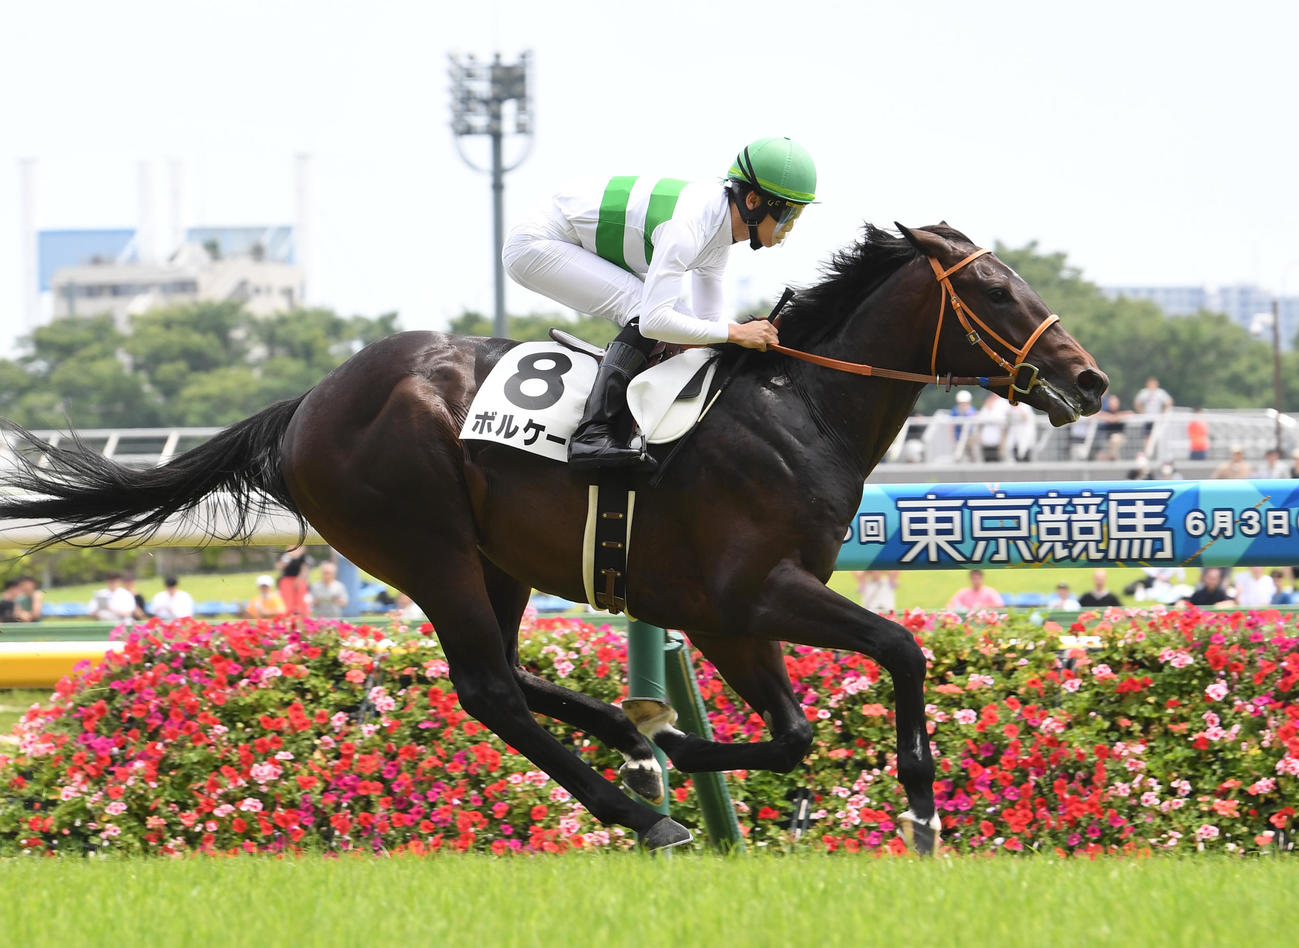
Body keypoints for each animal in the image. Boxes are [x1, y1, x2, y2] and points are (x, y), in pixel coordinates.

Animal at [0, 223, 1107, 853]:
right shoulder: (750, 594)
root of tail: (307, 402)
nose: (1090, 379)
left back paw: (631, 745)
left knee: (504, 676)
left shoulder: (727, 617)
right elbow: (900, 650)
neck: (794, 409)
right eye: (997, 291)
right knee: (487, 688)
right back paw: (644, 809)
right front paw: (921, 812)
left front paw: (675, 743)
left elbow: (795, 730)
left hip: (496, 563)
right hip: (428, 545)